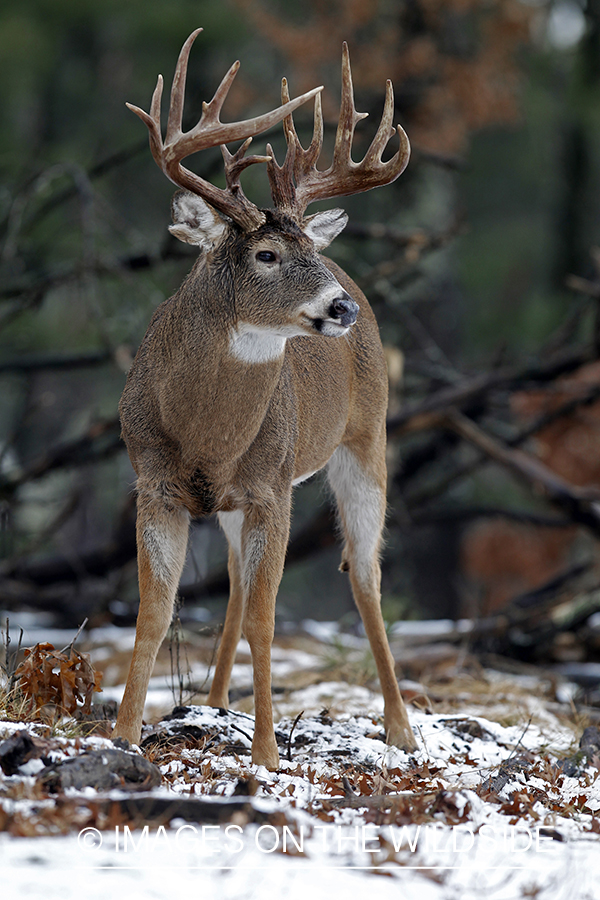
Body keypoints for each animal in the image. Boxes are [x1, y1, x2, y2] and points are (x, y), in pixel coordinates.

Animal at [115, 28, 420, 768]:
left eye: (305, 245)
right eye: (267, 255)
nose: (338, 307)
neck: (204, 436)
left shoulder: (273, 487)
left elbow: (266, 618)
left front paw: (265, 757)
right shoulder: (155, 482)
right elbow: (154, 613)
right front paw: (124, 737)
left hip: (365, 440)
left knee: (364, 575)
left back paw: (401, 729)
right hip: (233, 504)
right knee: (231, 578)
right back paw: (213, 701)